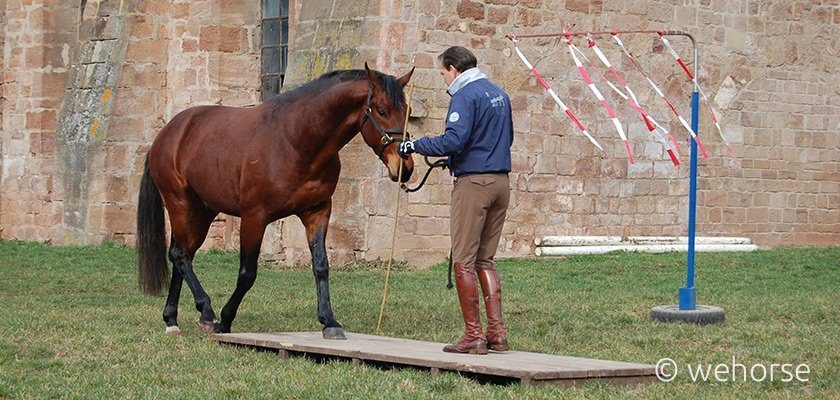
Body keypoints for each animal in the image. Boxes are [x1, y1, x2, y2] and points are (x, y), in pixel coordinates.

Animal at [138, 64, 416, 340]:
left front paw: (329, 321)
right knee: (180, 255)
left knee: (182, 255)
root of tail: (168, 132)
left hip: (202, 211)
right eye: (382, 111)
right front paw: (225, 320)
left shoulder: (317, 211)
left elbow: (321, 266)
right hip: (180, 204)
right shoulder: (254, 216)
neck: (295, 140)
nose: (405, 166)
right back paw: (206, 312)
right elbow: (247, 273)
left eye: (408, 112)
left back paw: (171, 318)